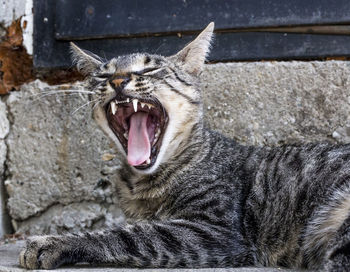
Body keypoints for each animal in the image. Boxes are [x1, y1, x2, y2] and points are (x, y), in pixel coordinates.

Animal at [18, 22, 350, 270]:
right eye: (103, 74)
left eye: (147, 71)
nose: (118, 80)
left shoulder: (215, 228)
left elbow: (133, 235)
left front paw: (56, 242)